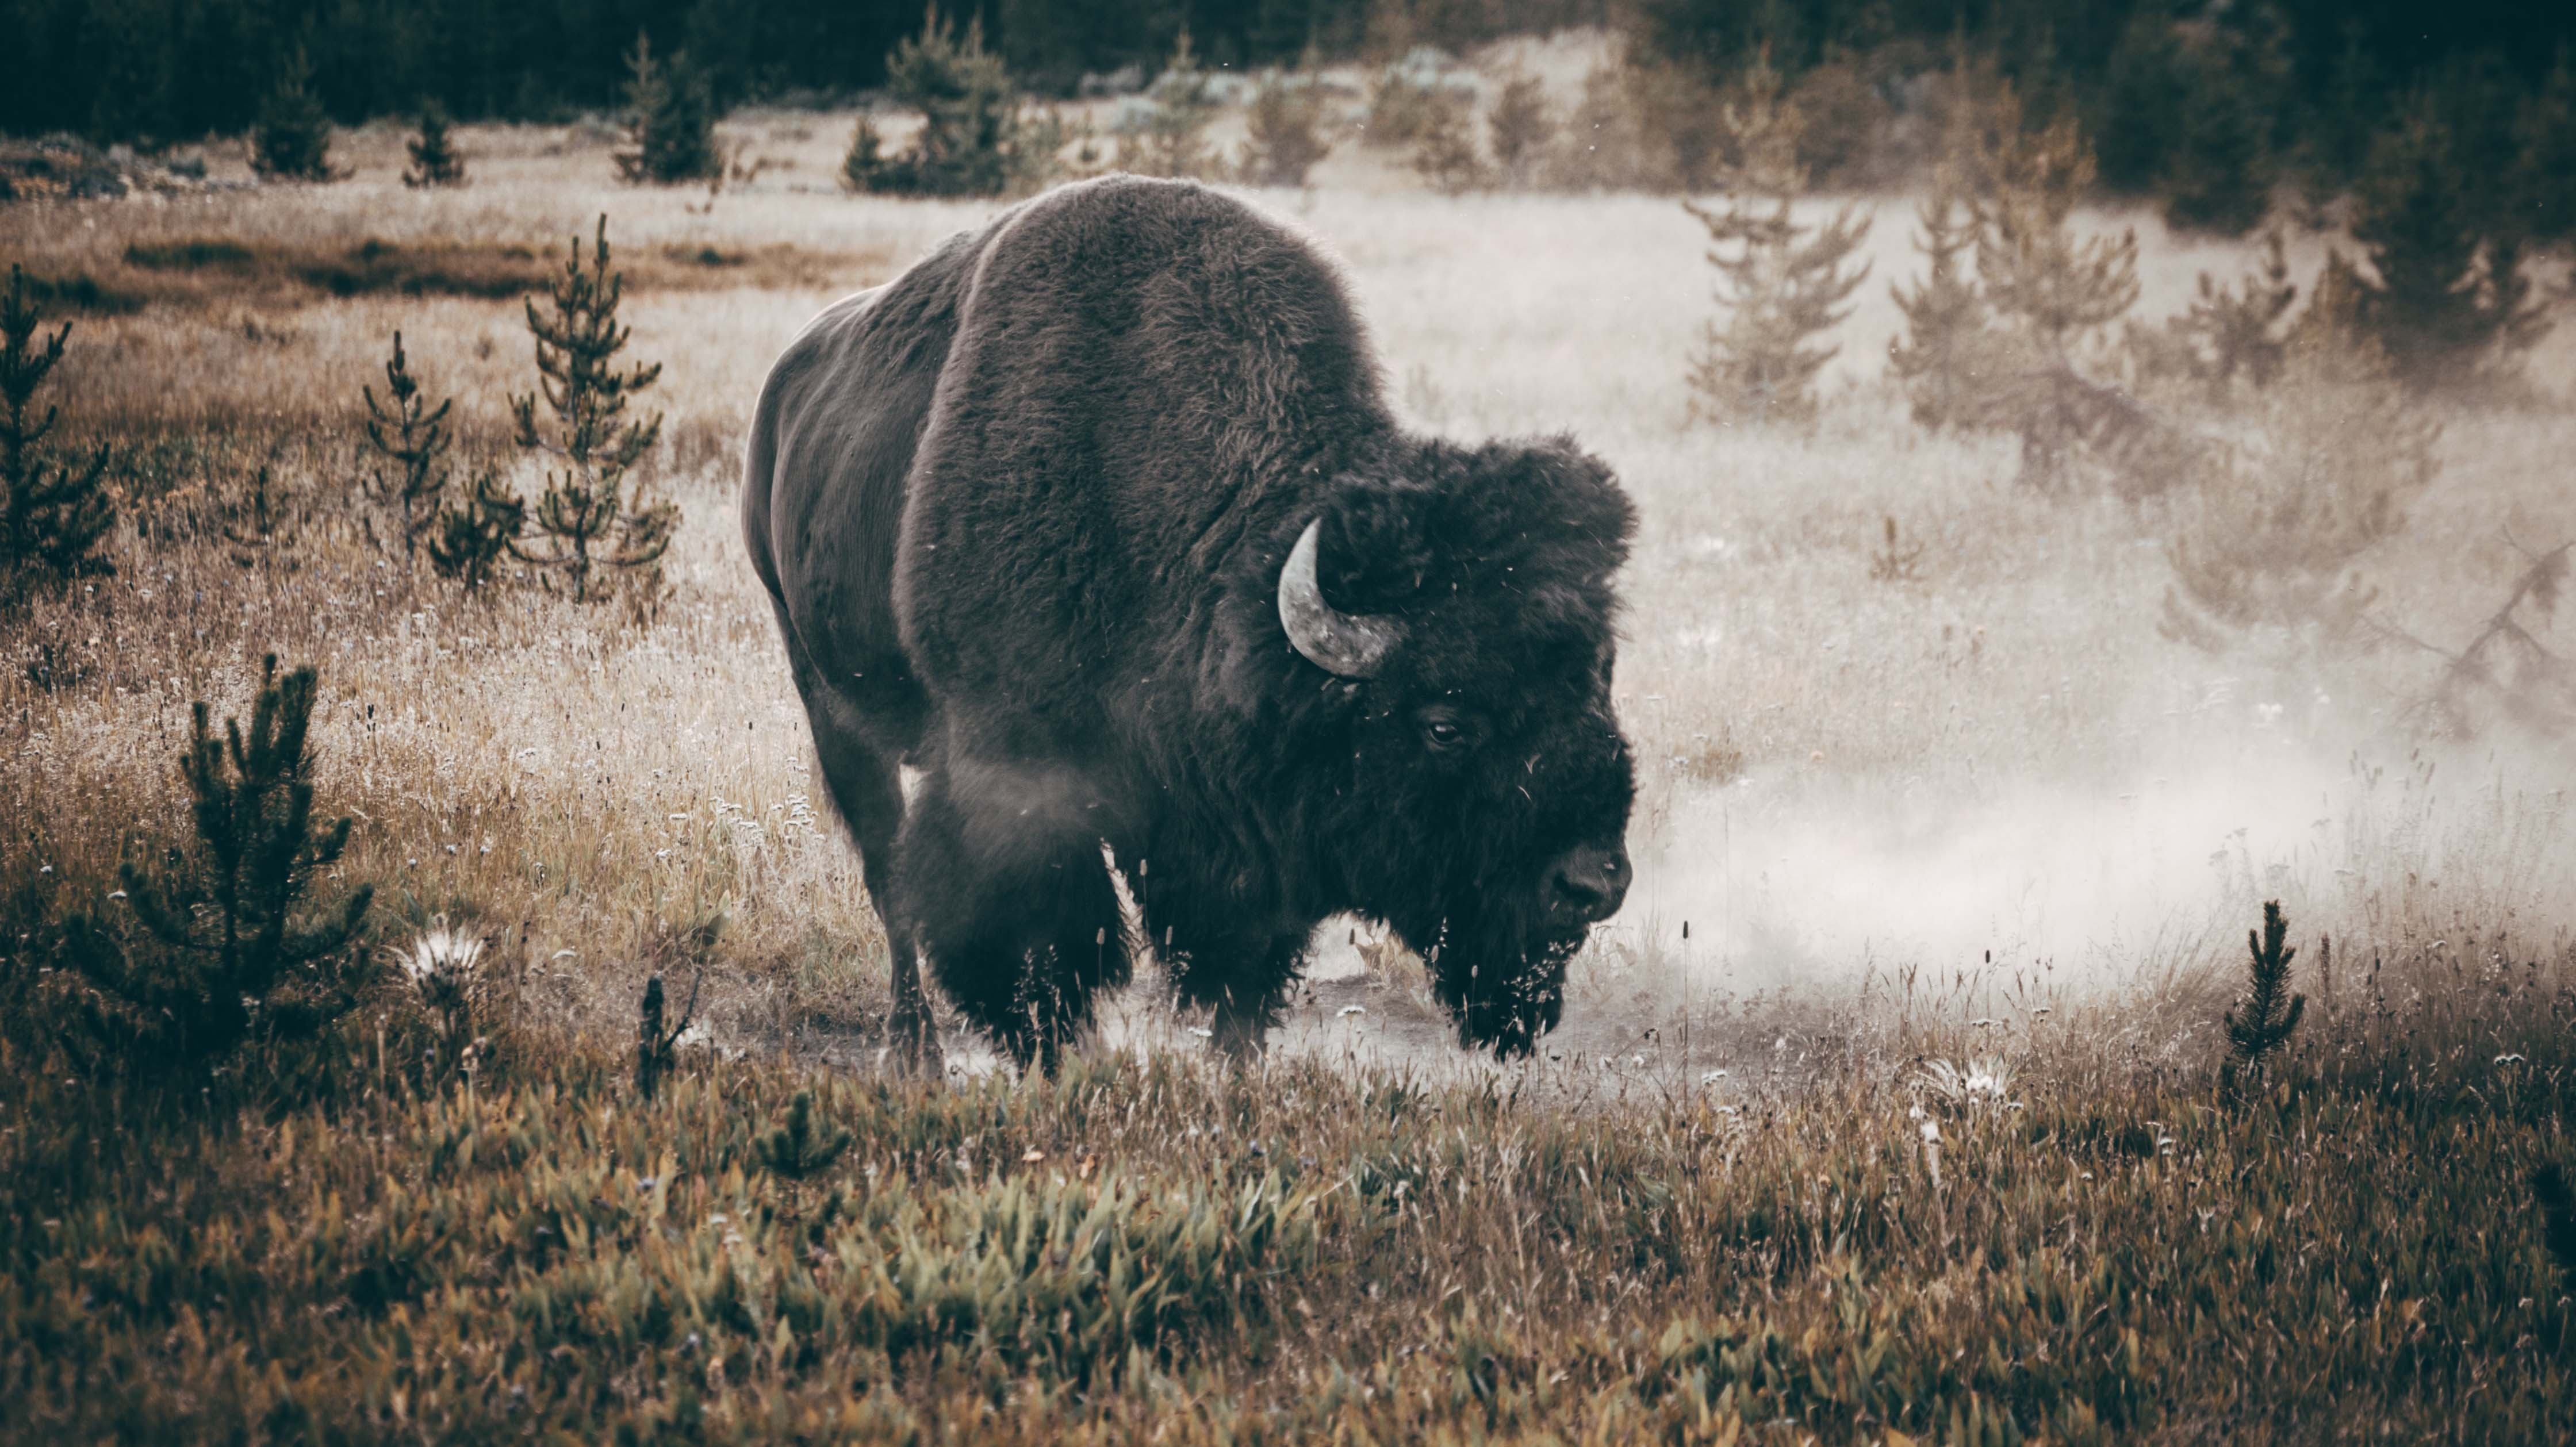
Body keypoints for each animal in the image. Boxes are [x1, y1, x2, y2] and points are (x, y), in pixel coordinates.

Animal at [742, 175, 1628, 1066]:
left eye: (1595, 683)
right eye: (1444, 724)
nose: (1593, 883)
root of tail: (781, 397)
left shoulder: (1236, 843)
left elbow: (1239, 976)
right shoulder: (1014, 780)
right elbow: (1039, 949)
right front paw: (1054, 1061)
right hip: (828, 699)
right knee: (889, 877)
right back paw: (916, 1051)